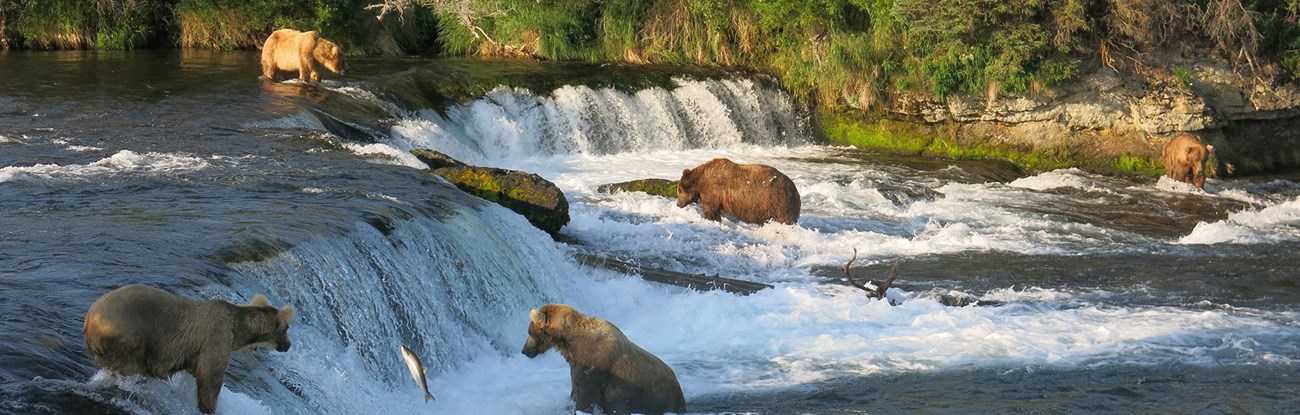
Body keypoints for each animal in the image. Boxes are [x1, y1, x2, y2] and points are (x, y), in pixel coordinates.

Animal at [82, 284, 296, 413]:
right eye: (287, 328)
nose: (288, 345)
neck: (237, 331)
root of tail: (89, 317)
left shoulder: (194, 353)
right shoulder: (216, 339)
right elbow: (210, 380)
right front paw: (209, 407)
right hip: (127, 335)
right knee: (132, 369)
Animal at [520, 301, 691, 415]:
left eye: (529, 331)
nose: (524, 350)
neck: (570, 342)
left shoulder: (594, 362)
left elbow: (586, 394)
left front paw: (580, 409)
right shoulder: (576, 363)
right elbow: (575, 390)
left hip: (654, 397)